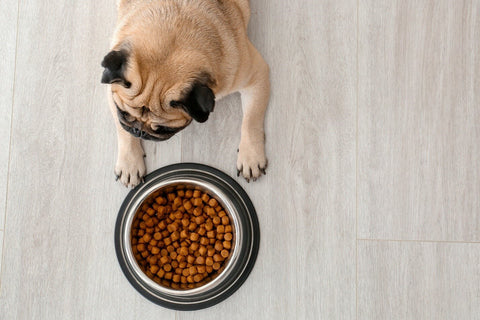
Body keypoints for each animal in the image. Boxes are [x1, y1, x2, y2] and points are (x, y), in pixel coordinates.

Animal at [101, 0, 270, 188]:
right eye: (123, 113)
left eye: (165, 129)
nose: (139, 131)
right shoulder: (111, 90)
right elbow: (122, 130)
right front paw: (129, 163)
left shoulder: (256, 76)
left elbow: (251, 120)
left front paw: (251, 157)